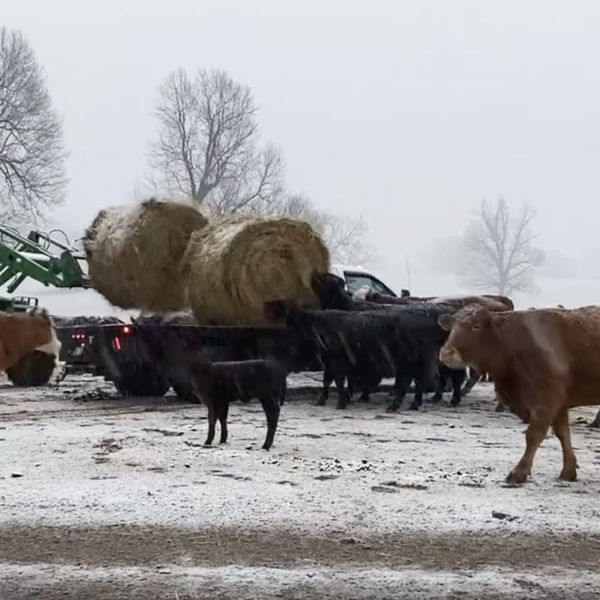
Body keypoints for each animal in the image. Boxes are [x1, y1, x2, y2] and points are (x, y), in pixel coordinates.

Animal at [436, 308, 600, 486]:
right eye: (452, 327)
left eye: (476, 326)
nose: (446, 352)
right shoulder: (559, 405)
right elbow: (562, 433)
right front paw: (568, 470)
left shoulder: (546, 402)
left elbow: (533, 435)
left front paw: (519, 472)